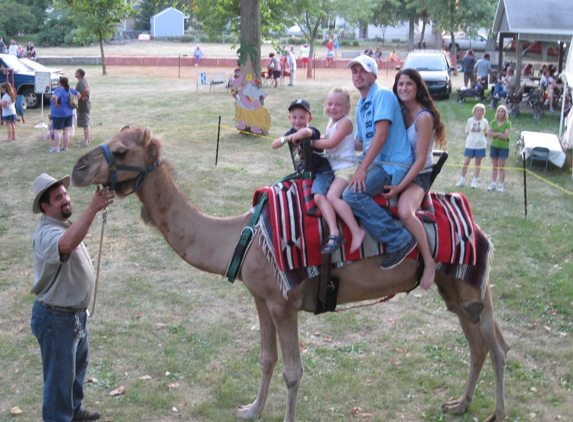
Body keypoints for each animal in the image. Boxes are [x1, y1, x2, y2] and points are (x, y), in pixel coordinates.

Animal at [70, 127, 510, 420]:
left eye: (120, 149)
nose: (77, 168)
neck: (242, 236)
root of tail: (475, 223)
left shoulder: (285, 303)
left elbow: (293, 372)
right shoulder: (261, 298)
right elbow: (266, 359)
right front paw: (250, 409)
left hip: (470, 280)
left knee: (496, 345)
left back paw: (496, 413)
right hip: (451, 284)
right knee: (478, 342)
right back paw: (458, 404)